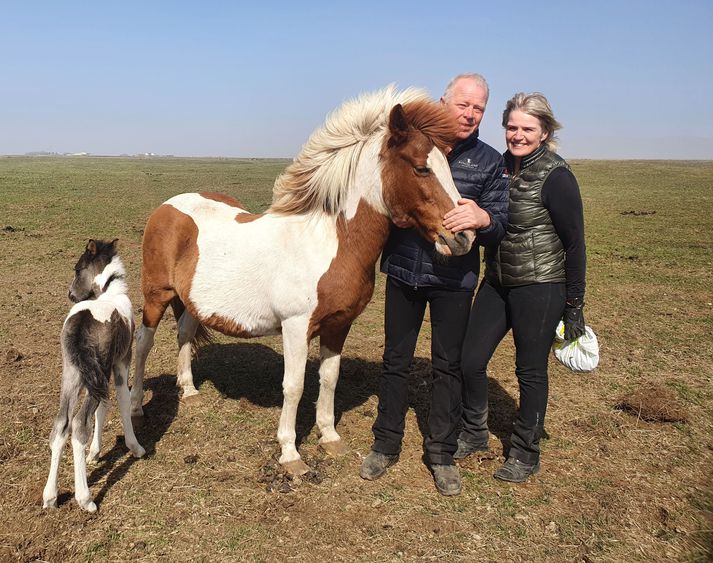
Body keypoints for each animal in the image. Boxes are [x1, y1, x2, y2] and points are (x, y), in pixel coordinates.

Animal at [41, 240, 145, 512]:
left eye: (78, 269)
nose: (71, 295)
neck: (110, 293)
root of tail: (80, 323)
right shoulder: (121, 362)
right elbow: (121, 400)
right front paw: (135, 447)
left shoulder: (99, 377)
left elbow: (103, 408)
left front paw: (95, 453)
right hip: (94, 372)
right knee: (78, 424)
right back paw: (85, 498)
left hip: (72, 374)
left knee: (61, 423)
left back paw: (50, 496)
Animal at [129, 87, 472, 476]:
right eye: (421, 168)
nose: (463, 237)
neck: (329, 243)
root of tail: (168, 206)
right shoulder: (296, 327)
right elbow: (293, 386)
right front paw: (290, 454)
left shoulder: (339, 325)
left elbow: (329, 378)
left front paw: (330, 437)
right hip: (156, 296)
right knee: (143, 345)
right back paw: (137, 407)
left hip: (190, 301)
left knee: (184, 334)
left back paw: (189, 392)